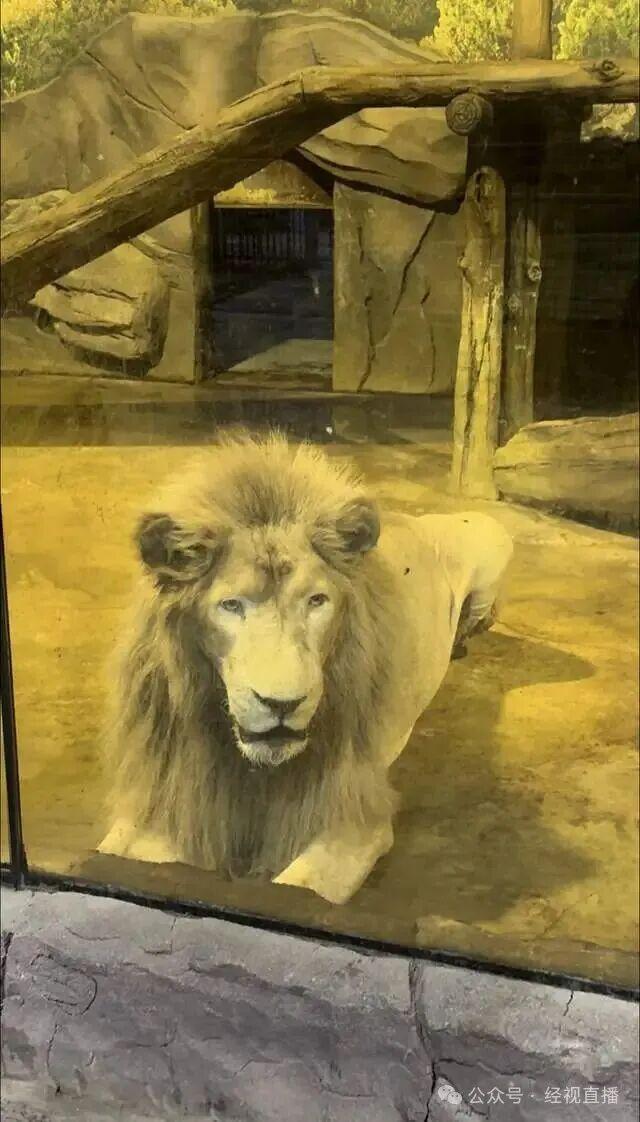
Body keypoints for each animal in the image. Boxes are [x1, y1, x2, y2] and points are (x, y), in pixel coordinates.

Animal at [98, 431, 513, 904]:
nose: (283, 704)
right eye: (231, 605)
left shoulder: (351, 818)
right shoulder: (169, 796)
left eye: (317, 601)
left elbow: (296, 889)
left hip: (492, 536)